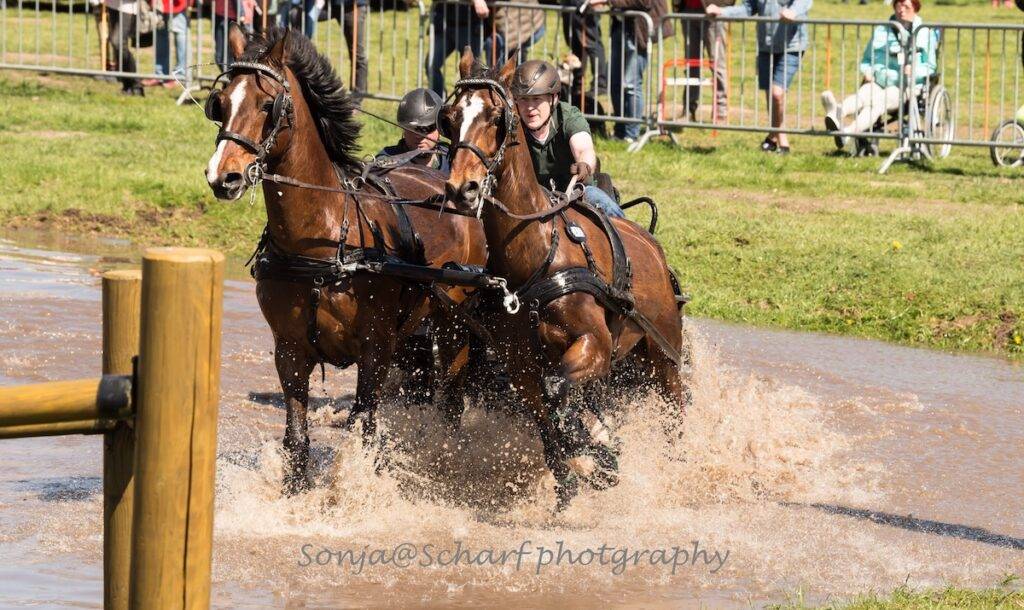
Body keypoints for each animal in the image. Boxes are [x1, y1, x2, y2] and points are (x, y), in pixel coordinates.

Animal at [204, 25, 487, 494]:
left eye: (267, 104)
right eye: (221, 104)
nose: (222, 176)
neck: (322, 241)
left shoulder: (375, 349)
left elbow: (363, 432)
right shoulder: (289, 351)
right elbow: (296, 439)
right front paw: (295, 494)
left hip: (453, 325)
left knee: (451, 402)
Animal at [440, 51, 686, 510]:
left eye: (497, 117)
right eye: (449, 118)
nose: (462, 189)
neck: (539, 253)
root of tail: (652, 247)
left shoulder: (594, 344)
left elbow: (557, 392)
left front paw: (595, 452)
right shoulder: (520, 365)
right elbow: (545, 418)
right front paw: (574, 473)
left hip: (663, 355)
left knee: (674, 409)